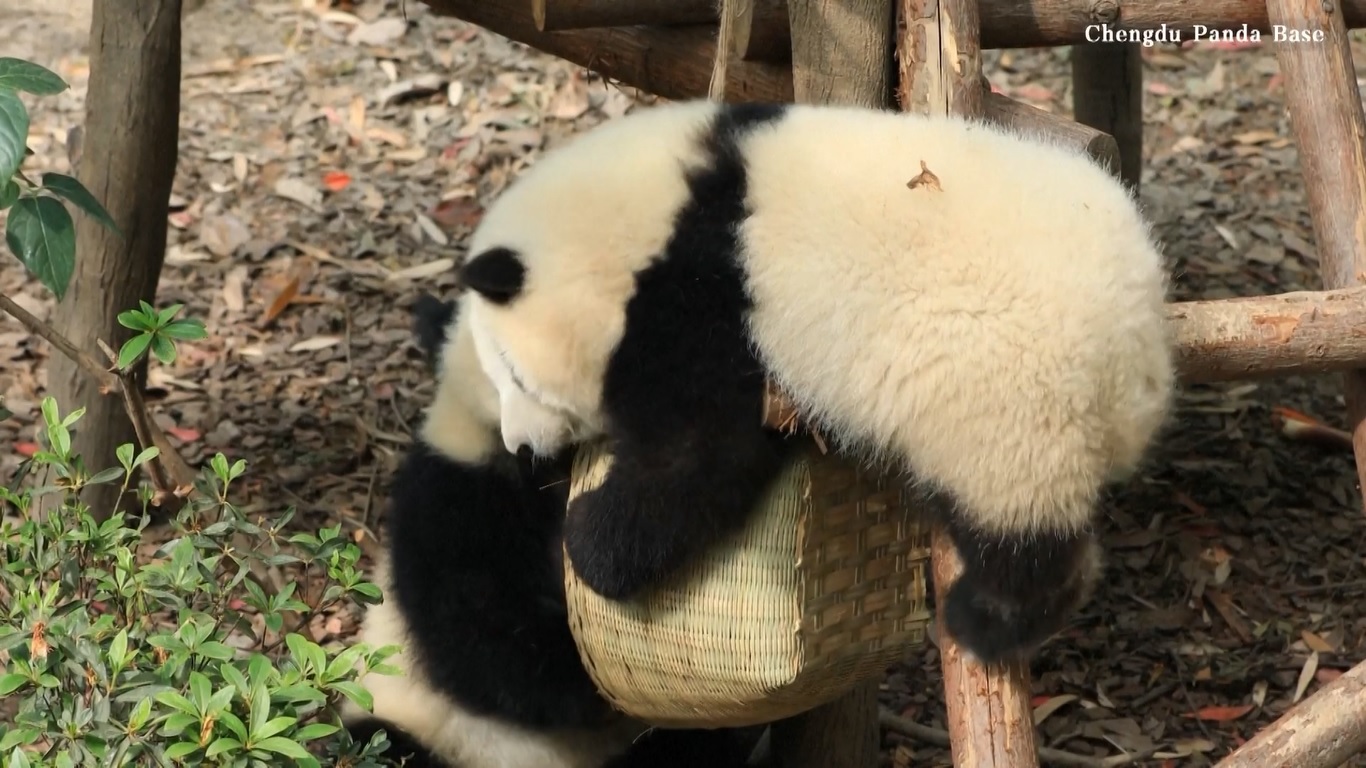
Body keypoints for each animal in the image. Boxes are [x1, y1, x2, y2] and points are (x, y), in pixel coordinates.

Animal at [445, 99, 1176, 666]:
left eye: (515, 375)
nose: (521, 448)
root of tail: (1139, 349)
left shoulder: (704, 304)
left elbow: (696, 456)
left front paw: (587, 539)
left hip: (1014, 395)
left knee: (1017, 519)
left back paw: (988, 619)